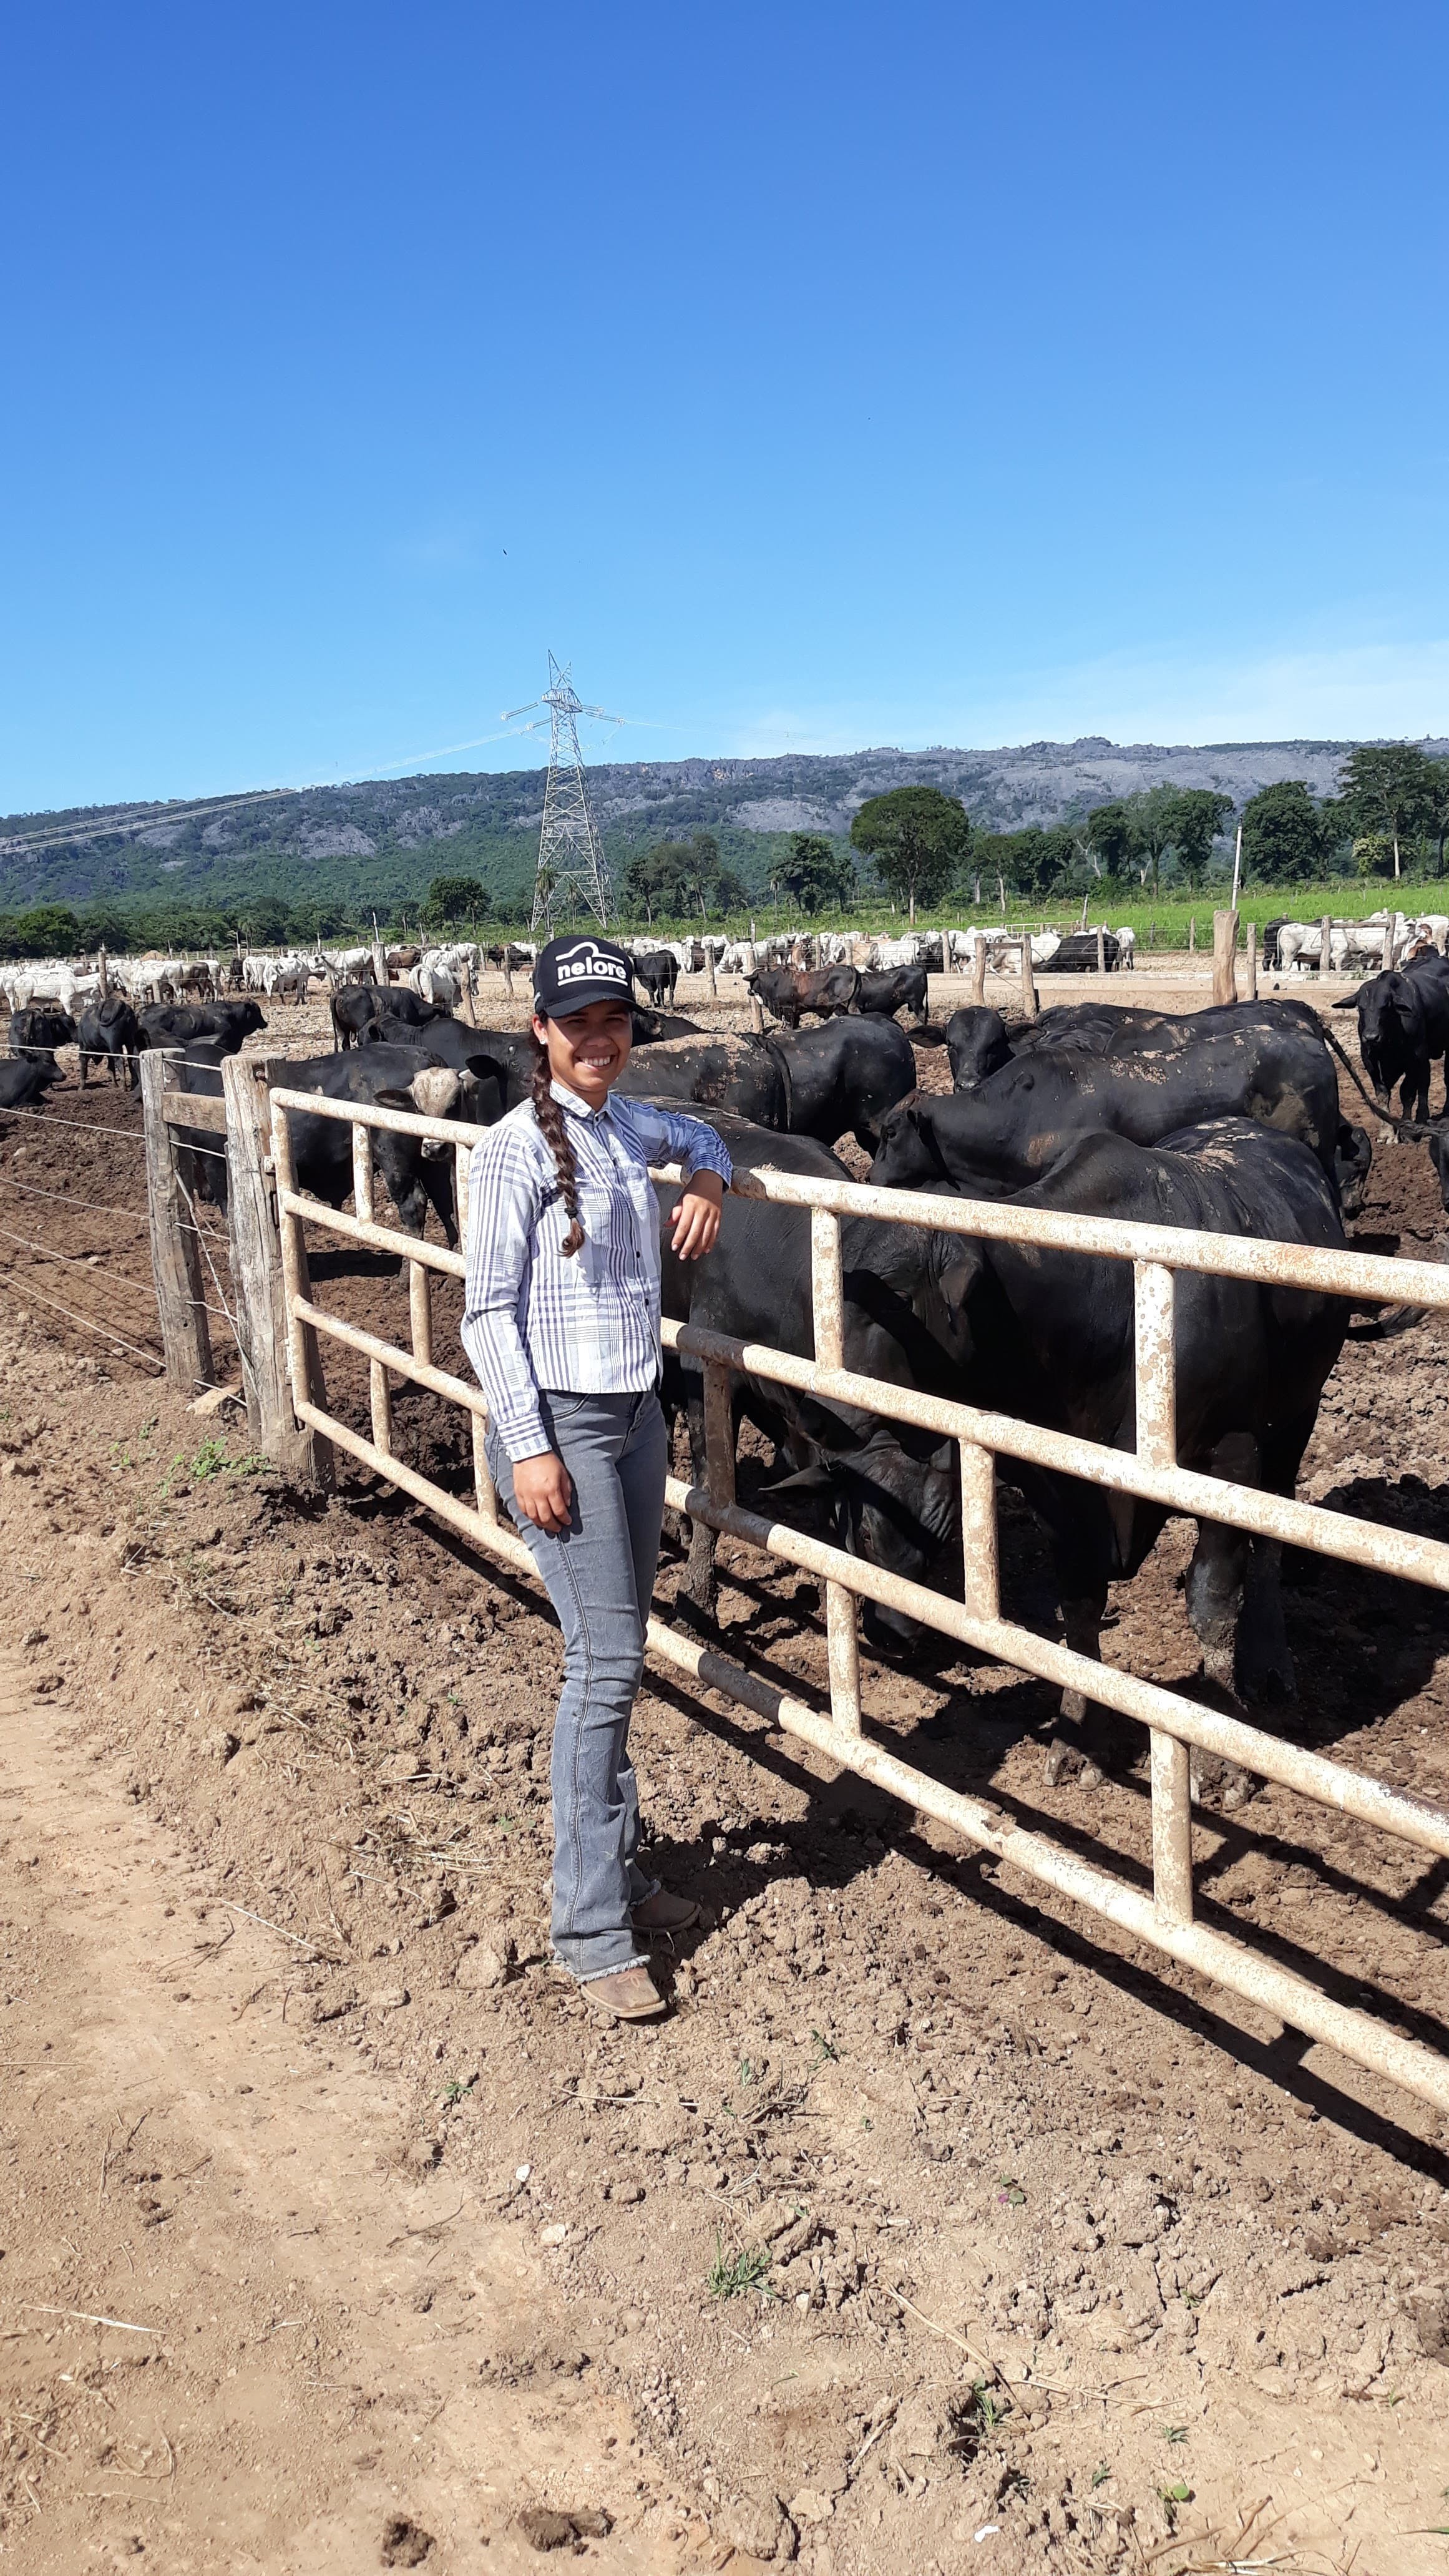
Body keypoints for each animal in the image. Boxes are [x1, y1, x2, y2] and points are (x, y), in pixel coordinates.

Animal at [76, 994, 142, 1087]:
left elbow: (83, 1067)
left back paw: (123, 1087)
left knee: (120, 1061)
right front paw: (115, 1085)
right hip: (130, 1042)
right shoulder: (108, 1051)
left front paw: (81, 1087)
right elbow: (111, 1068)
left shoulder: (83, 1048)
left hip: (114, 1045)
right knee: (131, 1060)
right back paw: (133, 1084)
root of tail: (118, 1003)